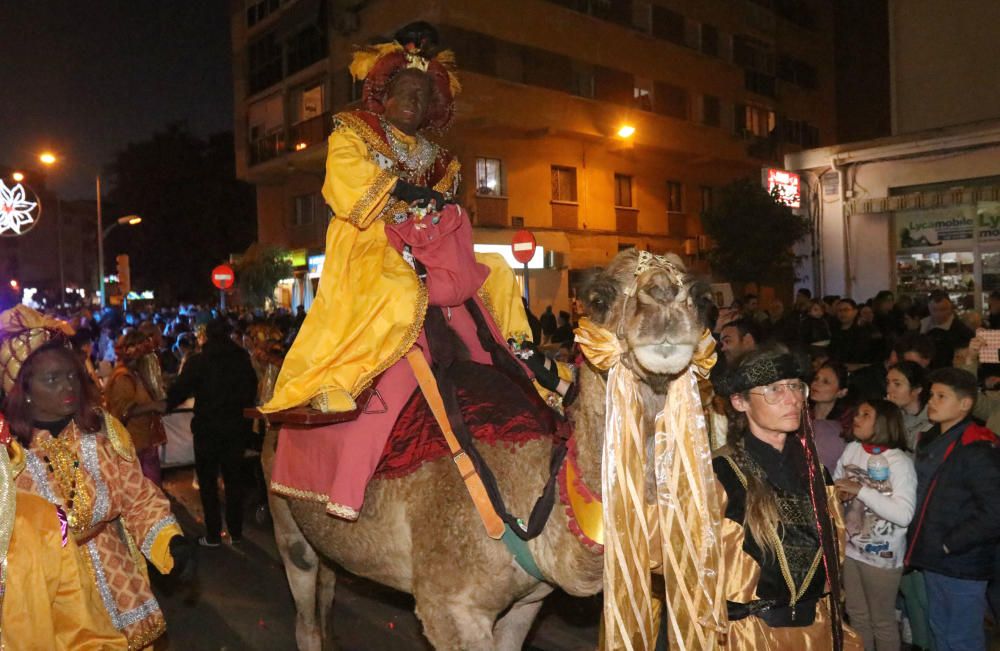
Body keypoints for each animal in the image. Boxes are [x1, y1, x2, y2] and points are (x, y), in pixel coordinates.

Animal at [262, 251, 708, 651]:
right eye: (599, 298)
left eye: (699, 295)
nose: (665, 300)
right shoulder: (450, 607)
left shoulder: (529, 602)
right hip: (286, 519)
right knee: (304, 608)